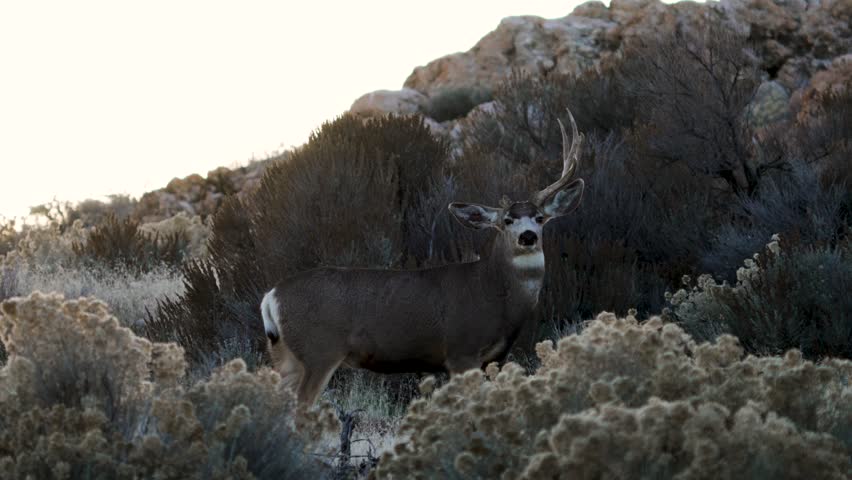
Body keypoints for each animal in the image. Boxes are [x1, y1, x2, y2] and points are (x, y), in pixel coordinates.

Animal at [261, 111, 585, 404]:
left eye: (540, 218)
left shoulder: (494, 358)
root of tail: (270, 296)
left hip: (286, 356)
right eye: (507, 221)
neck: (494, 294)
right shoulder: (461, 350)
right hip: (318, 351)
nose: (527, 236)